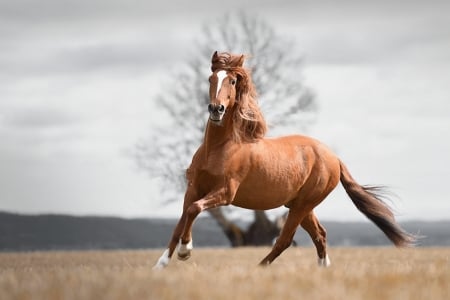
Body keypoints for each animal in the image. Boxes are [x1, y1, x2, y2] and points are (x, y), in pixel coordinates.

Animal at [154, 51, 414, 270]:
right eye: (211, 78)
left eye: (233, 81)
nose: (216, 109)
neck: (218, 149)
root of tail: (334, 158)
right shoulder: (193, 188)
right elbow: (181, 221)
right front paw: (161, 264)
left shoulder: (225, 192)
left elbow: (194, 210)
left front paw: (185, 251)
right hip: (300, 205)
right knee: (320, 235)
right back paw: (323, 271)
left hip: (302, 205)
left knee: (286, 239)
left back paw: (259, 269)